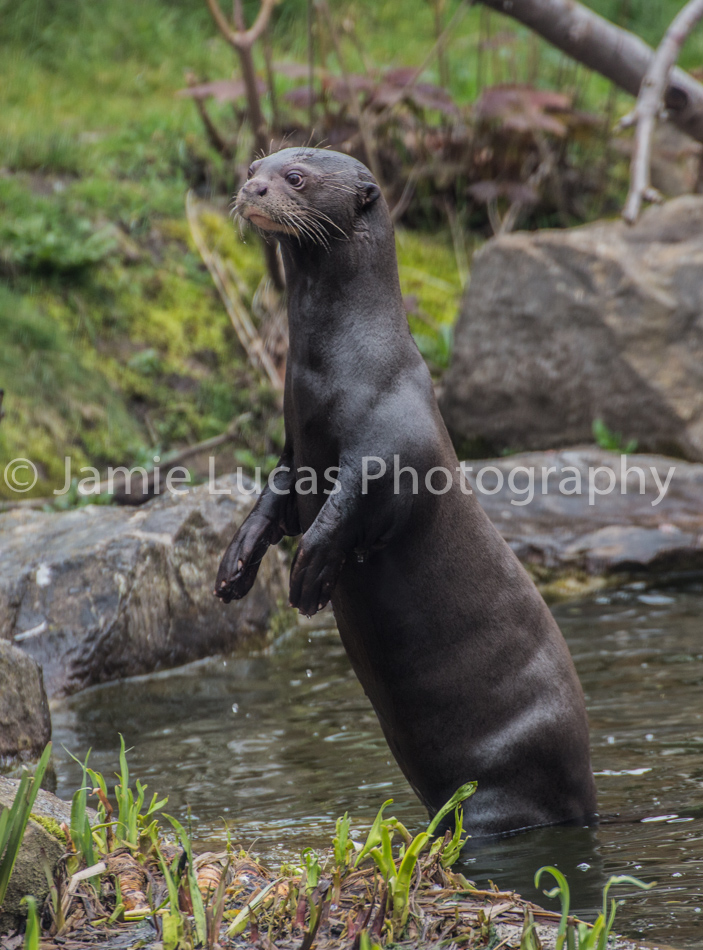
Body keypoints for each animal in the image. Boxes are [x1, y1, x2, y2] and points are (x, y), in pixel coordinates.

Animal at [215, 147, 597, 835]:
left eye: (296, 178)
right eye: (258, 165)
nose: (251, 189)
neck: (340, 368)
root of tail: (586, 801)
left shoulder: (389, 443)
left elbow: (347, 508)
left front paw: (309, 577)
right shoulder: (293, 449)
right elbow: (272, 504)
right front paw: (235, 566)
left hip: (506, 779)